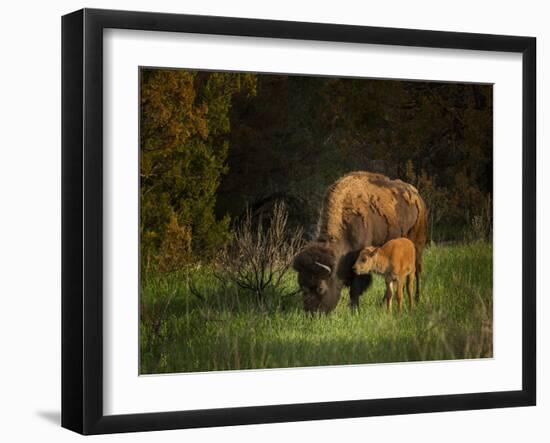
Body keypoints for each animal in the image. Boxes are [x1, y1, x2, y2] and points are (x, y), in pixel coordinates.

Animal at [296, 172, 430, 314]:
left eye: (320, 288)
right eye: (302, 286)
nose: (312, 313)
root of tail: (417, 196)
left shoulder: (360, 261)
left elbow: (355, 288)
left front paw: (354, 310)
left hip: (418, 245)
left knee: (417, 272)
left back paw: (417, 299)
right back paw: (384, 303)